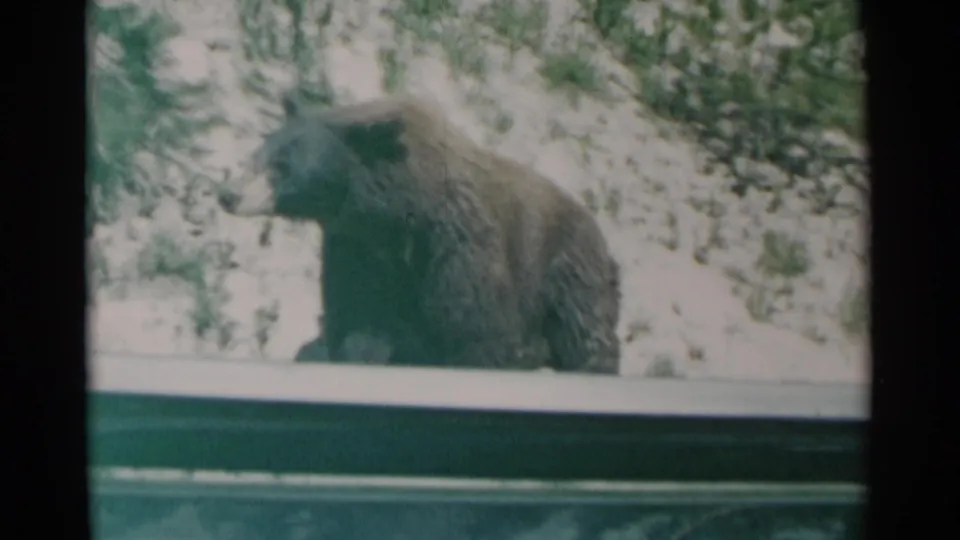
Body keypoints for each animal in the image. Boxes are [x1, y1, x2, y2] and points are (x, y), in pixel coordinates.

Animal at [217, 92, 622, 374]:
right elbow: (357, 321)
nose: (228, 194)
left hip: (569, 273)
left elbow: (477, 330)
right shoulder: (356, 251)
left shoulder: (457, 247)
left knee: (586, 336)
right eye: (260, 151)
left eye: (283, 166)